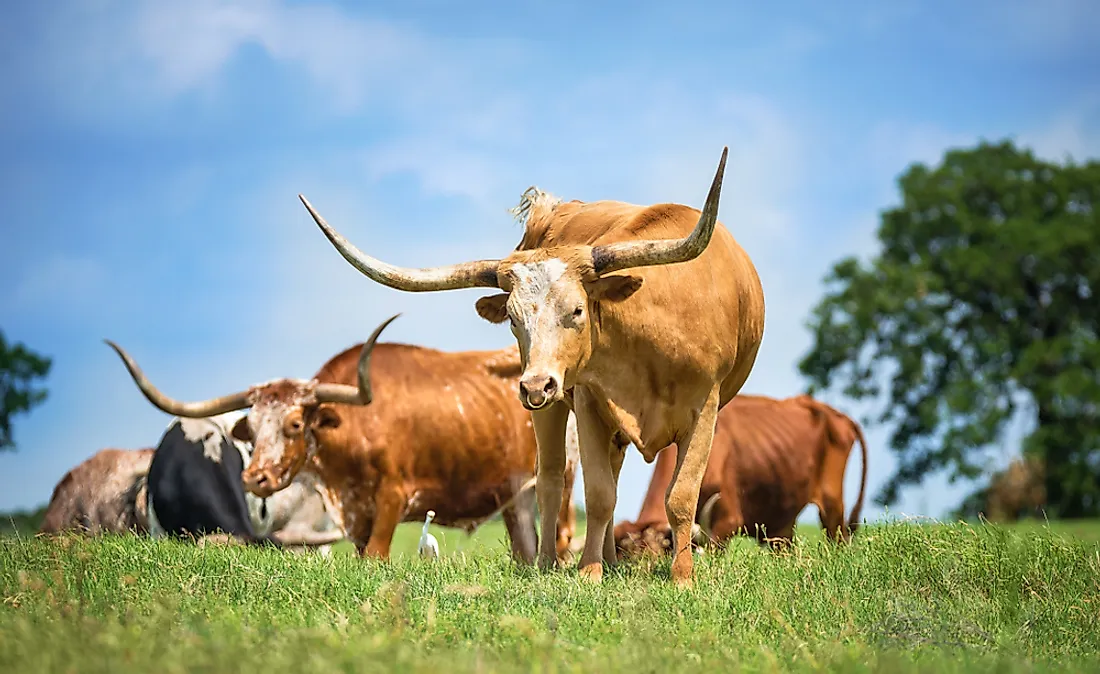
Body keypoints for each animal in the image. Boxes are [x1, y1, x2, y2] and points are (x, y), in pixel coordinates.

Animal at [106, 314, 580, 562]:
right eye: (252, 428)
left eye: (296, 424)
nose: (256, 478)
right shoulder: (355, 514)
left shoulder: (393, 498)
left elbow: (375, 556)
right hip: (514, 495)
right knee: (523, 542)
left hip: (563, 478)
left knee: (561, 533)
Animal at [301, 146, 765, 584]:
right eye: (512, 316)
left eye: (577, 309)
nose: (535, 386)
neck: (652, 335)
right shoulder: (590, 400)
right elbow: (598, 494)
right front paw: (589, 572)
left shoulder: (705, 407)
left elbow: (681, 496)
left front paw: (681, 577)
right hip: (556, 407)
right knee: (552, 480)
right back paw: (553, 563)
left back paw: (612, 562)